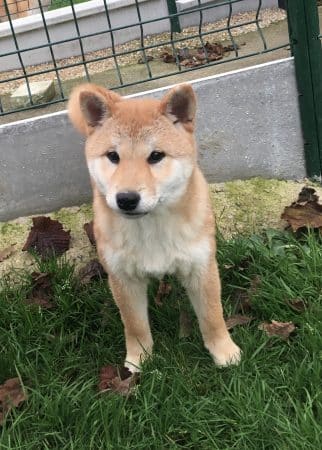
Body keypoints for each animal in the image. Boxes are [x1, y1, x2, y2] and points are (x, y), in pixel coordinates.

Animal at [68, 82, 242, 370]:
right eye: (113, 156)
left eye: (156, 156)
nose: (126, 199)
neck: (151, 229)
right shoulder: (122, 278)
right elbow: (135, 325)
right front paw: (138, 360)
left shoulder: (201, 267)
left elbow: (212, 316)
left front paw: (224, 352)